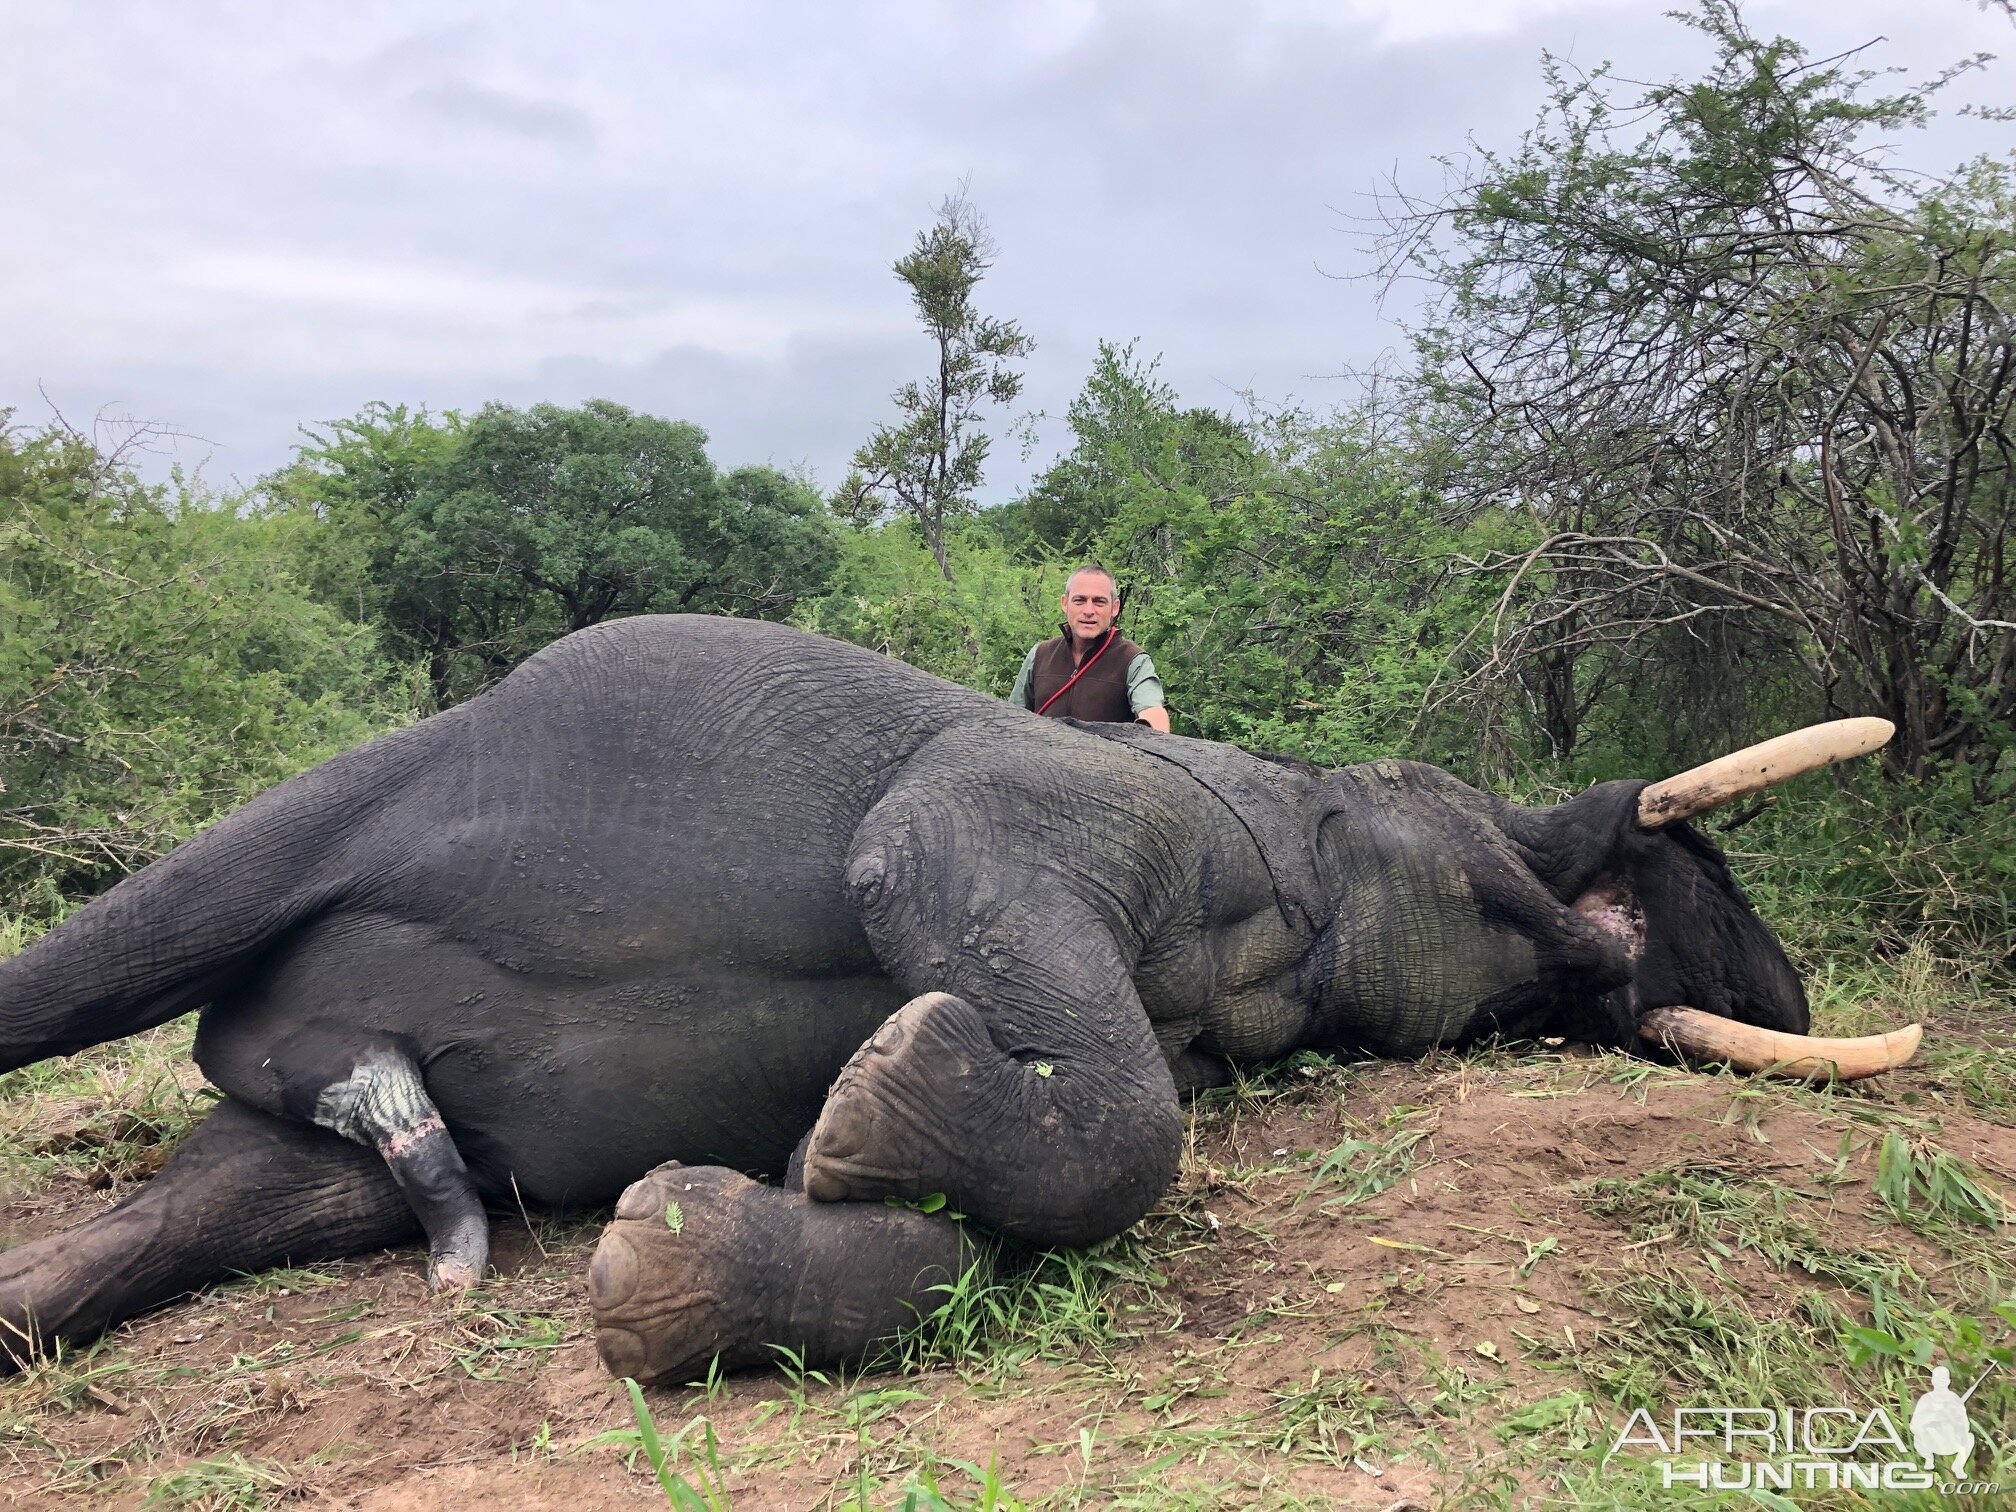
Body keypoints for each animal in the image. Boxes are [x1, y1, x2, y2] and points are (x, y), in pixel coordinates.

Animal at [0, 616, 1911, 1387]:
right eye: (1455, 802)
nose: (1766, 972)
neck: (1297, 837)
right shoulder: (1091, 803)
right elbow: (941, 878)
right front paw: (886, 1086)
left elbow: (976, 1227)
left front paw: (725, 1221)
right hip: (345, 796)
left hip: (325, 1125)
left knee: (205, 1207)